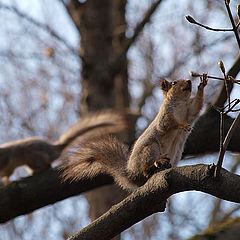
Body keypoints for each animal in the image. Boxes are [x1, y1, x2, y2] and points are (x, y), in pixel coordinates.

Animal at [60, 75, 208, 191]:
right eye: (174, 83)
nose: (189, 81)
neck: (181, 103)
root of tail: (132, 174)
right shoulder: (165, 116)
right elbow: (167, 124)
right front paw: (181, 125)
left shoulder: (189, 112)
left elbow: (196, 107)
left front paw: (202, 85)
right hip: (150, 148)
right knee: (145, 169)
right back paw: (156, 162)